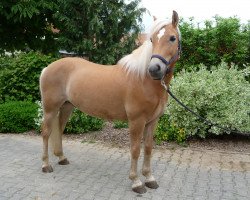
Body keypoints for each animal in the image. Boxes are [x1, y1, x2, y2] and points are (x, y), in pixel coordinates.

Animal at [39, 10, 181, 194]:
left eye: (172, 38)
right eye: (152, 39)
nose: (154, 69)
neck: (143, 79)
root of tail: (47, 68)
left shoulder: (152, 121)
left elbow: (148, 148)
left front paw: (150, 178)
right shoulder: (137, 121)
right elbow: (135, 149)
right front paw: (136, 182)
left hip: (66, 107)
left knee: (59, 129)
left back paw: (62, 158)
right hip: (50, 109)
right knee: (46, 132)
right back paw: (46, 165)